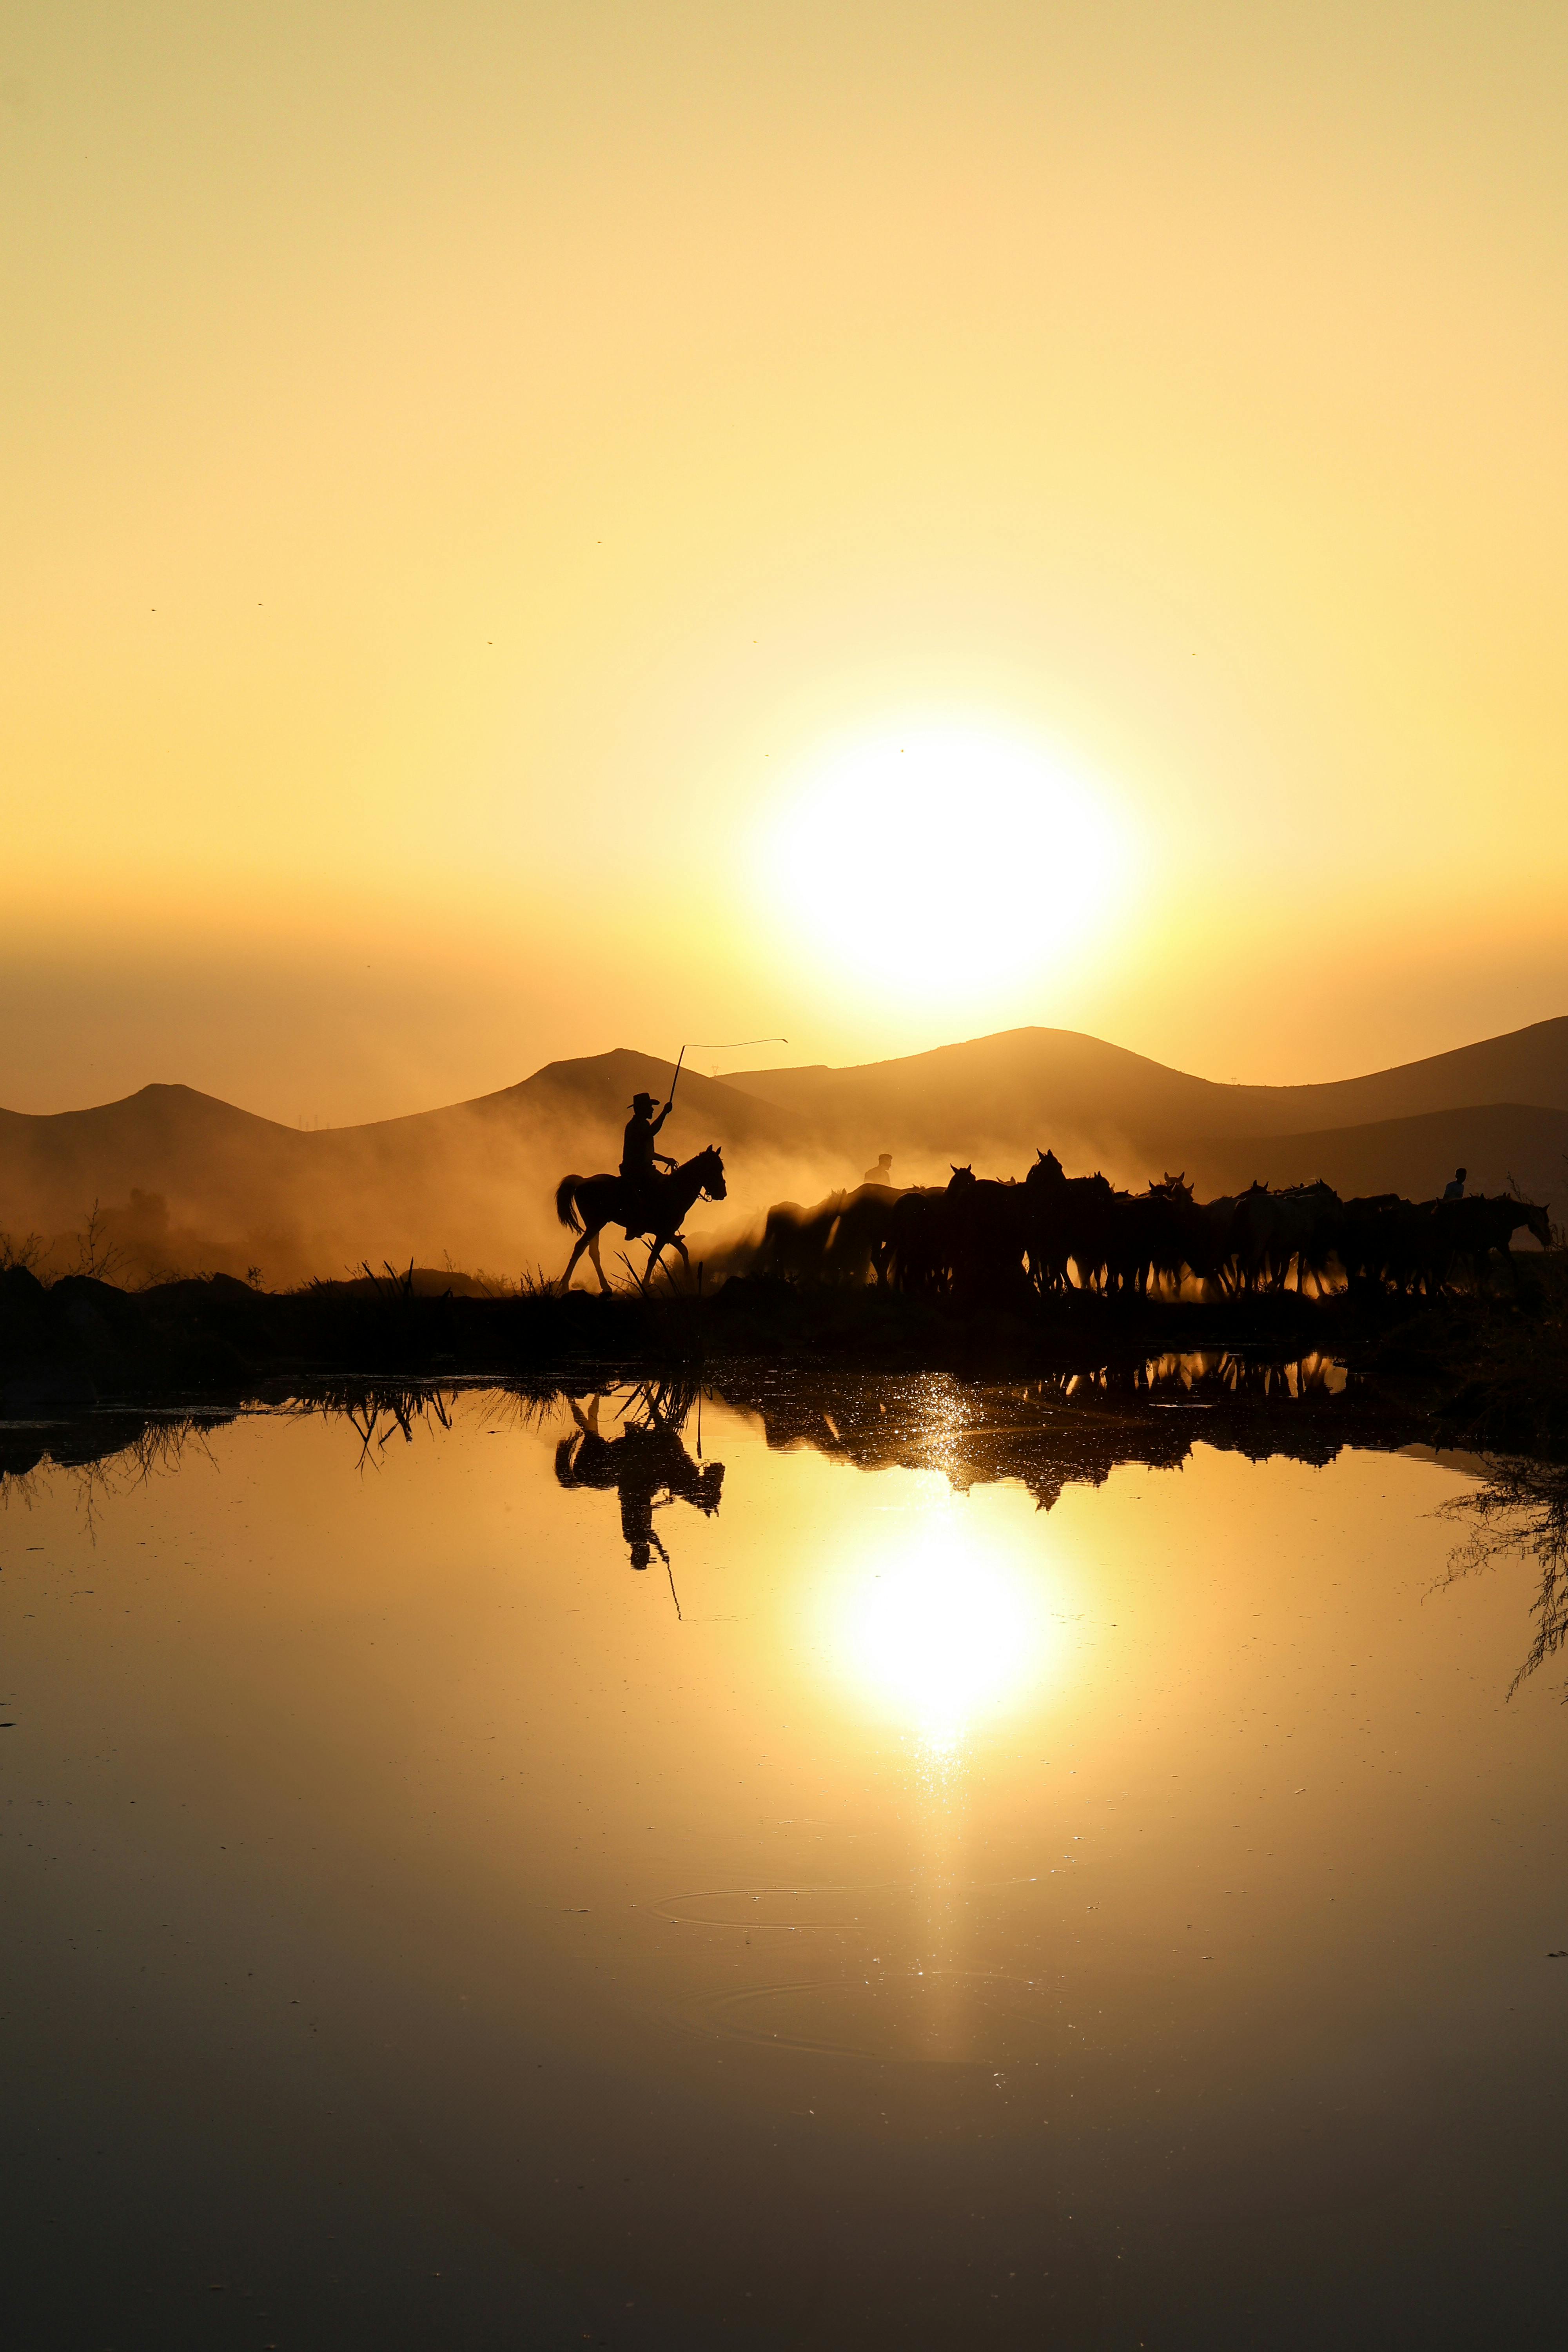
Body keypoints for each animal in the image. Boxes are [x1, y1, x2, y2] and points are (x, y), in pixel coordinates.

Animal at [555, 1138, 729, 1289]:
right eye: (714, 1169)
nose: (722, 1193)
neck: (676, 1190)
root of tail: (582, 1181)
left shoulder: (668, 1234)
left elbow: (683, 1250)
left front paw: (690, 1283)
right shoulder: (664, 1234)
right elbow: (653, 1258)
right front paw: (645, 1286)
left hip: (596, 1225)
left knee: (593, 1252)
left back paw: (605, 1287)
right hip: (596, 1224)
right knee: (580, 1248)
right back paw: (564, 1286)